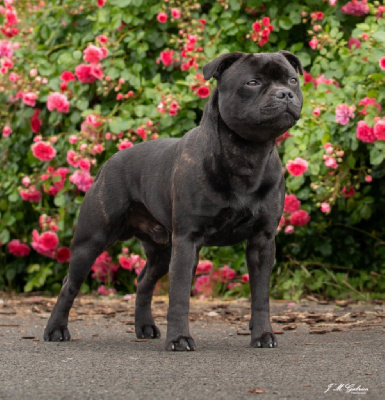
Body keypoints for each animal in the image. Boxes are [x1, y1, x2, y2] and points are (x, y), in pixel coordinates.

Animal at [44, 50, 304, 350]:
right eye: (252, 82)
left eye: (292, 80)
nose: (285, 93)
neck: (247, 154)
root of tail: (109, 162)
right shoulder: (187, 240)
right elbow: (179, 296)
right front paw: (179, 338)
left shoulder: (262, 240)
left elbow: (260, 296)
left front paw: (262, 335)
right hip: (91, 241)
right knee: (70, 285)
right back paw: (56, 330)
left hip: (162, 249)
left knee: (144, 281)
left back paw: (144, 327)